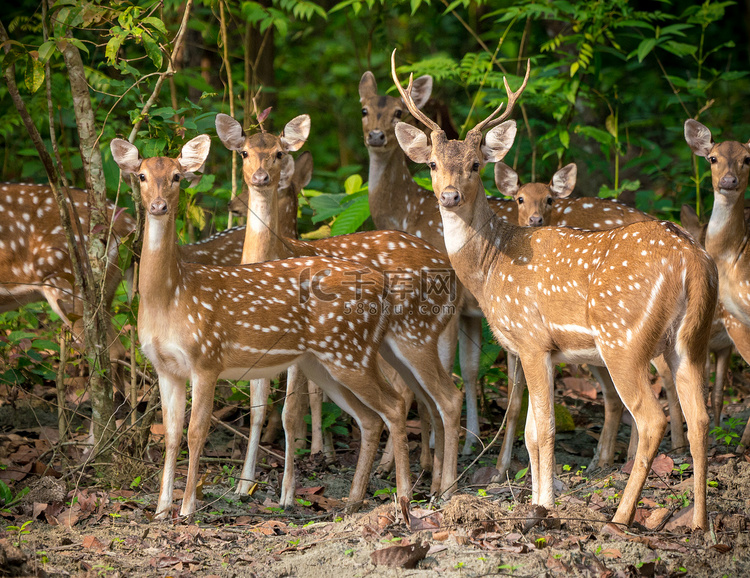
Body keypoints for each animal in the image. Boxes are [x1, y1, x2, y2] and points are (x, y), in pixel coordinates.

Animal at [114, 136, 424, 516]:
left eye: (176, 176)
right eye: (142, 175)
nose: (158, 206)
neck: (171, 297)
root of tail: (382, 285)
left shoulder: (207, 358)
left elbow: (195, 433)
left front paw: (187, 509)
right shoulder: (165, 367)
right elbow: (171, 435)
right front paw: (160, 510)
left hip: (350, 351)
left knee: (393, 405)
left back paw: (403, 497)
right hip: (323, 362)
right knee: (369, 418)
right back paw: (352, 501)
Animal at [216, 112, 464, 500]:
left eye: (278, 153)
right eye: (244, 152)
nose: (260, 178)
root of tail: (451, 273)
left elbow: (290, 410)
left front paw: (288, 492)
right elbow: (257, 408)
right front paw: (244, 485)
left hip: (410, 336)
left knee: (437, 396)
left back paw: (436, 487)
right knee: (428, 397)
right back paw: (429, 478)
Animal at [394, 54, 716, 528]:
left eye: (475, 165)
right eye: (432, 164)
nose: (450, 196)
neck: (491, 265)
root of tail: (693, 262)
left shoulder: (530, 338)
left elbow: (542, 429)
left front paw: (543, 506)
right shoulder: (542, 350)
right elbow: (530, 431)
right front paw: (536, 501)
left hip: (624, 338)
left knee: (650, 418)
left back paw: (621, 517)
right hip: (690, 340)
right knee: (702, 418)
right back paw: (698, 522)